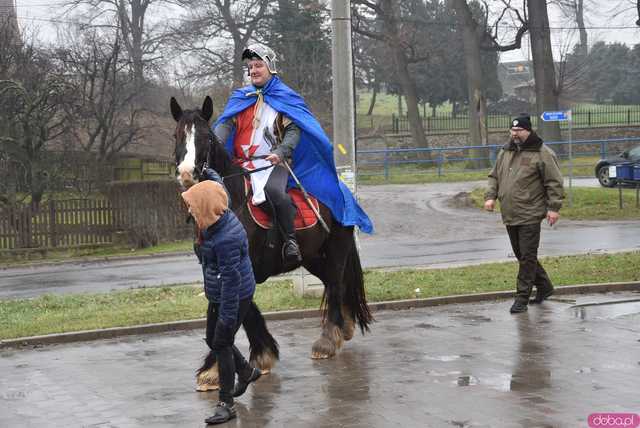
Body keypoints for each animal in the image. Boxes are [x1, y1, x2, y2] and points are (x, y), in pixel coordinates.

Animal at [171, 96, 376, 378]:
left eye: (207, 137)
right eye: (177, 135)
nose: (186, 173)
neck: (226, 205)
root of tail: (343, 190)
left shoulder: (243, 267)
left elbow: (240, 311)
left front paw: (251, 357)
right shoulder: (216, 268)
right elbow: (231, 310)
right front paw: (228, 364)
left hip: (336, 249)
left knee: (335, 285)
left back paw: (327, 340)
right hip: (313, 257)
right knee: (334, 284)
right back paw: (344, 328)